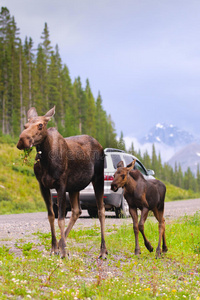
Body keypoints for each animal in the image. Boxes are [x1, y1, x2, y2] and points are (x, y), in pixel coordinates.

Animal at [17, 106, 108, 258]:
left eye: (40, 125)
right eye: (25, 125)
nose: (23, 140)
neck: (46, 161)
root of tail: (100, 145)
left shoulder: (61, 184)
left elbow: (60, 219)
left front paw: (64, 251)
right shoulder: (43, 185)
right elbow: (51, 216)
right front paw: (54, 247)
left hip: (98, 178)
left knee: (101, 210)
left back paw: (103, 250)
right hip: (75, 187)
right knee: (77, 211)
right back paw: (61, 242)